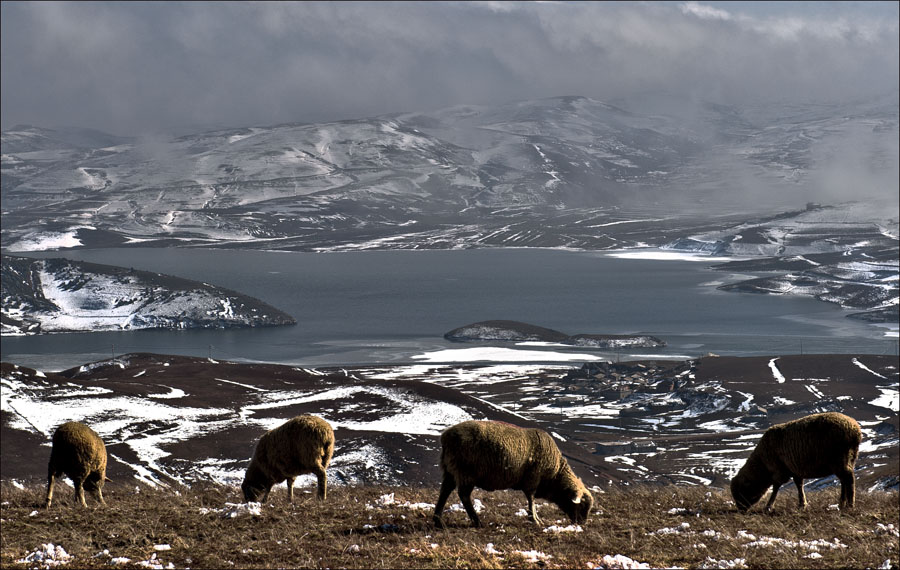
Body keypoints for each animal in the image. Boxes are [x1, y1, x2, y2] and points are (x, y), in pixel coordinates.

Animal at [434, 414, 596, 524]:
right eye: (582, 505)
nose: (582, 523)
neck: (555, 475)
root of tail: (445, 436)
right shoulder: (533, 478)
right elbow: (531, 499)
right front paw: (534, 519)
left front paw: (535, 518)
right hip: (466, 471)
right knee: (464, 495)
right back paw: (477, 521)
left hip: (450, 469)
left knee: (445, 491)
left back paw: (438, 520)